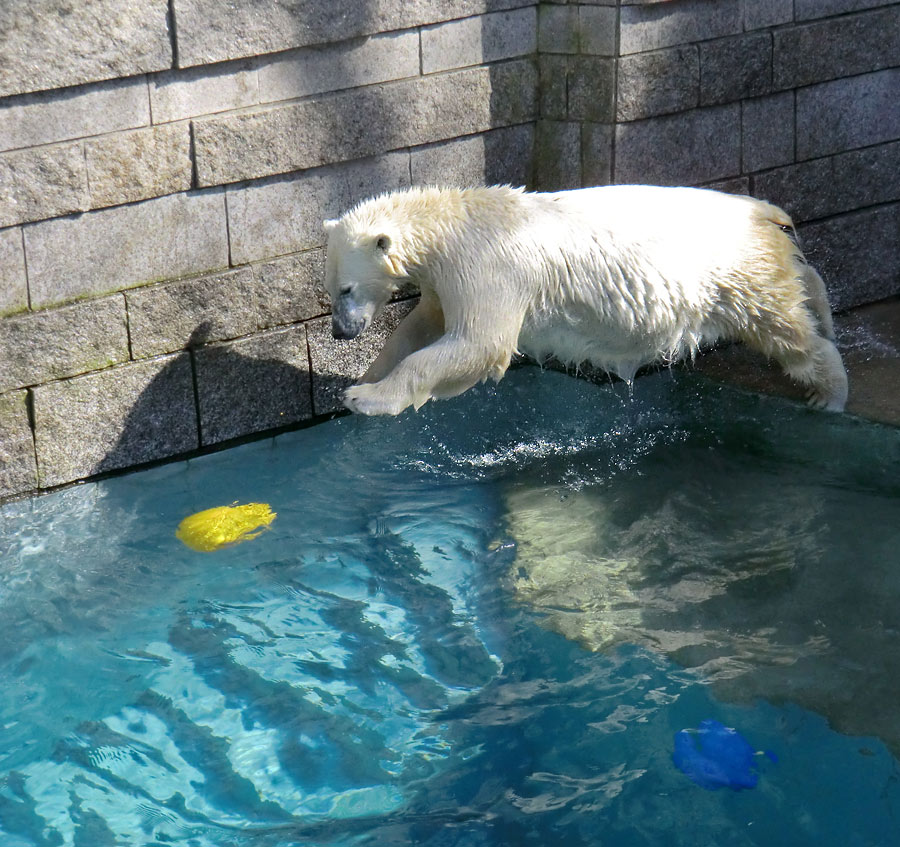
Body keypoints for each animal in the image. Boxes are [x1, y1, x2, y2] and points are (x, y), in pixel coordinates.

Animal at [326, 184, 852, 416]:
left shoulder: (486, 269)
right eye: (331, 291)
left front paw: (367, 398)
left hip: (733, 271)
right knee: (799, 281)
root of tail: (759, 210)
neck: (453, 223)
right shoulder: (446, 280)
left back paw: (828, 391)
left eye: (346, 289)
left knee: (783, 327)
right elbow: (422, 325)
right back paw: (823, 310)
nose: (340, 331)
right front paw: (363, 379)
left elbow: (477, 344)